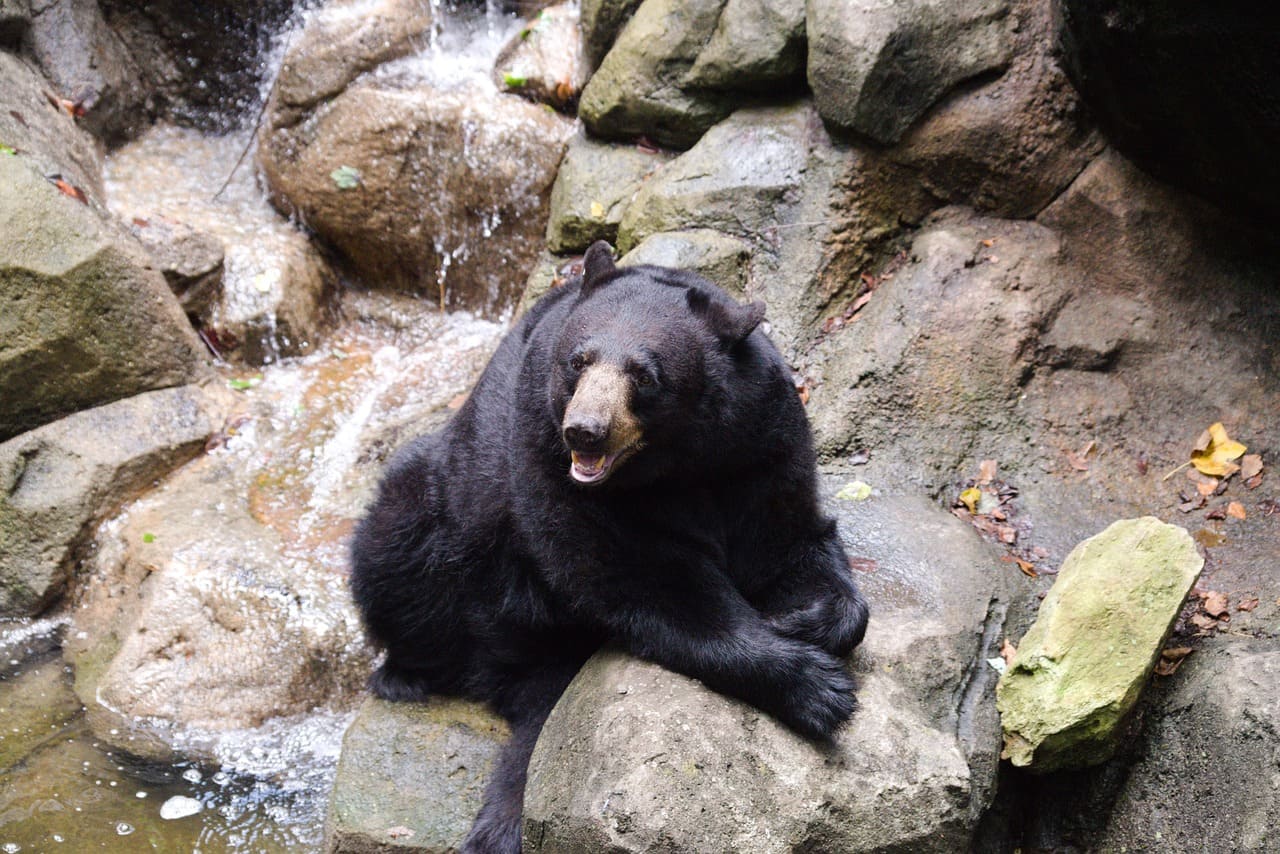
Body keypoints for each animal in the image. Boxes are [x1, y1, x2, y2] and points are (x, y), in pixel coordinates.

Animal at [350, 242, 869, 854]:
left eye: (644, 374)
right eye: (578, 360)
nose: (585, 430)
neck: (673, 467)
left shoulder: (760, 440)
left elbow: (788, 538)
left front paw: (808, 618)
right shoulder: (543, 452)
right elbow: (642, 580)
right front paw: (816, 686)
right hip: (447, 509)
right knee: (394, 553)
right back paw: (405, 674)